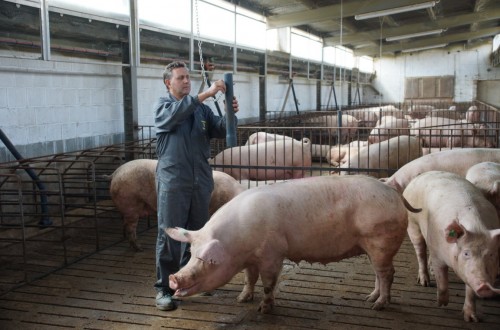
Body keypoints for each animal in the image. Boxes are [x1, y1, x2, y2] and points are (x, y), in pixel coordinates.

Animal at [166, 175, 420, 312]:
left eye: (208, 261)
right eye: (191, 253)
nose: (173, 277)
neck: (239, 243)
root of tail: (391, 189)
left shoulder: (273, 253)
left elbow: (268, 283)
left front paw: (264, 309)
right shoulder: (251, 259)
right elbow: (249, 278)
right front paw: (242, 299)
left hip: (381, 240)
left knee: (387, 273)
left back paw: (378, 305)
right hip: (371, 245)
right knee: (378, 273)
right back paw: (370, 298)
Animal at [402, 171, 500, 320]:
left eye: (492, 254)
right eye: (466, 253)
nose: (485, 287)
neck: (477, 227)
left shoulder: (468, 272)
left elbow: (470, 290)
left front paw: (471, 319)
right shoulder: (437, 254)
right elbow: (441, 279)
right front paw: (441, 303)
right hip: (412, 223)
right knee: (420, 250)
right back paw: (424, 282)